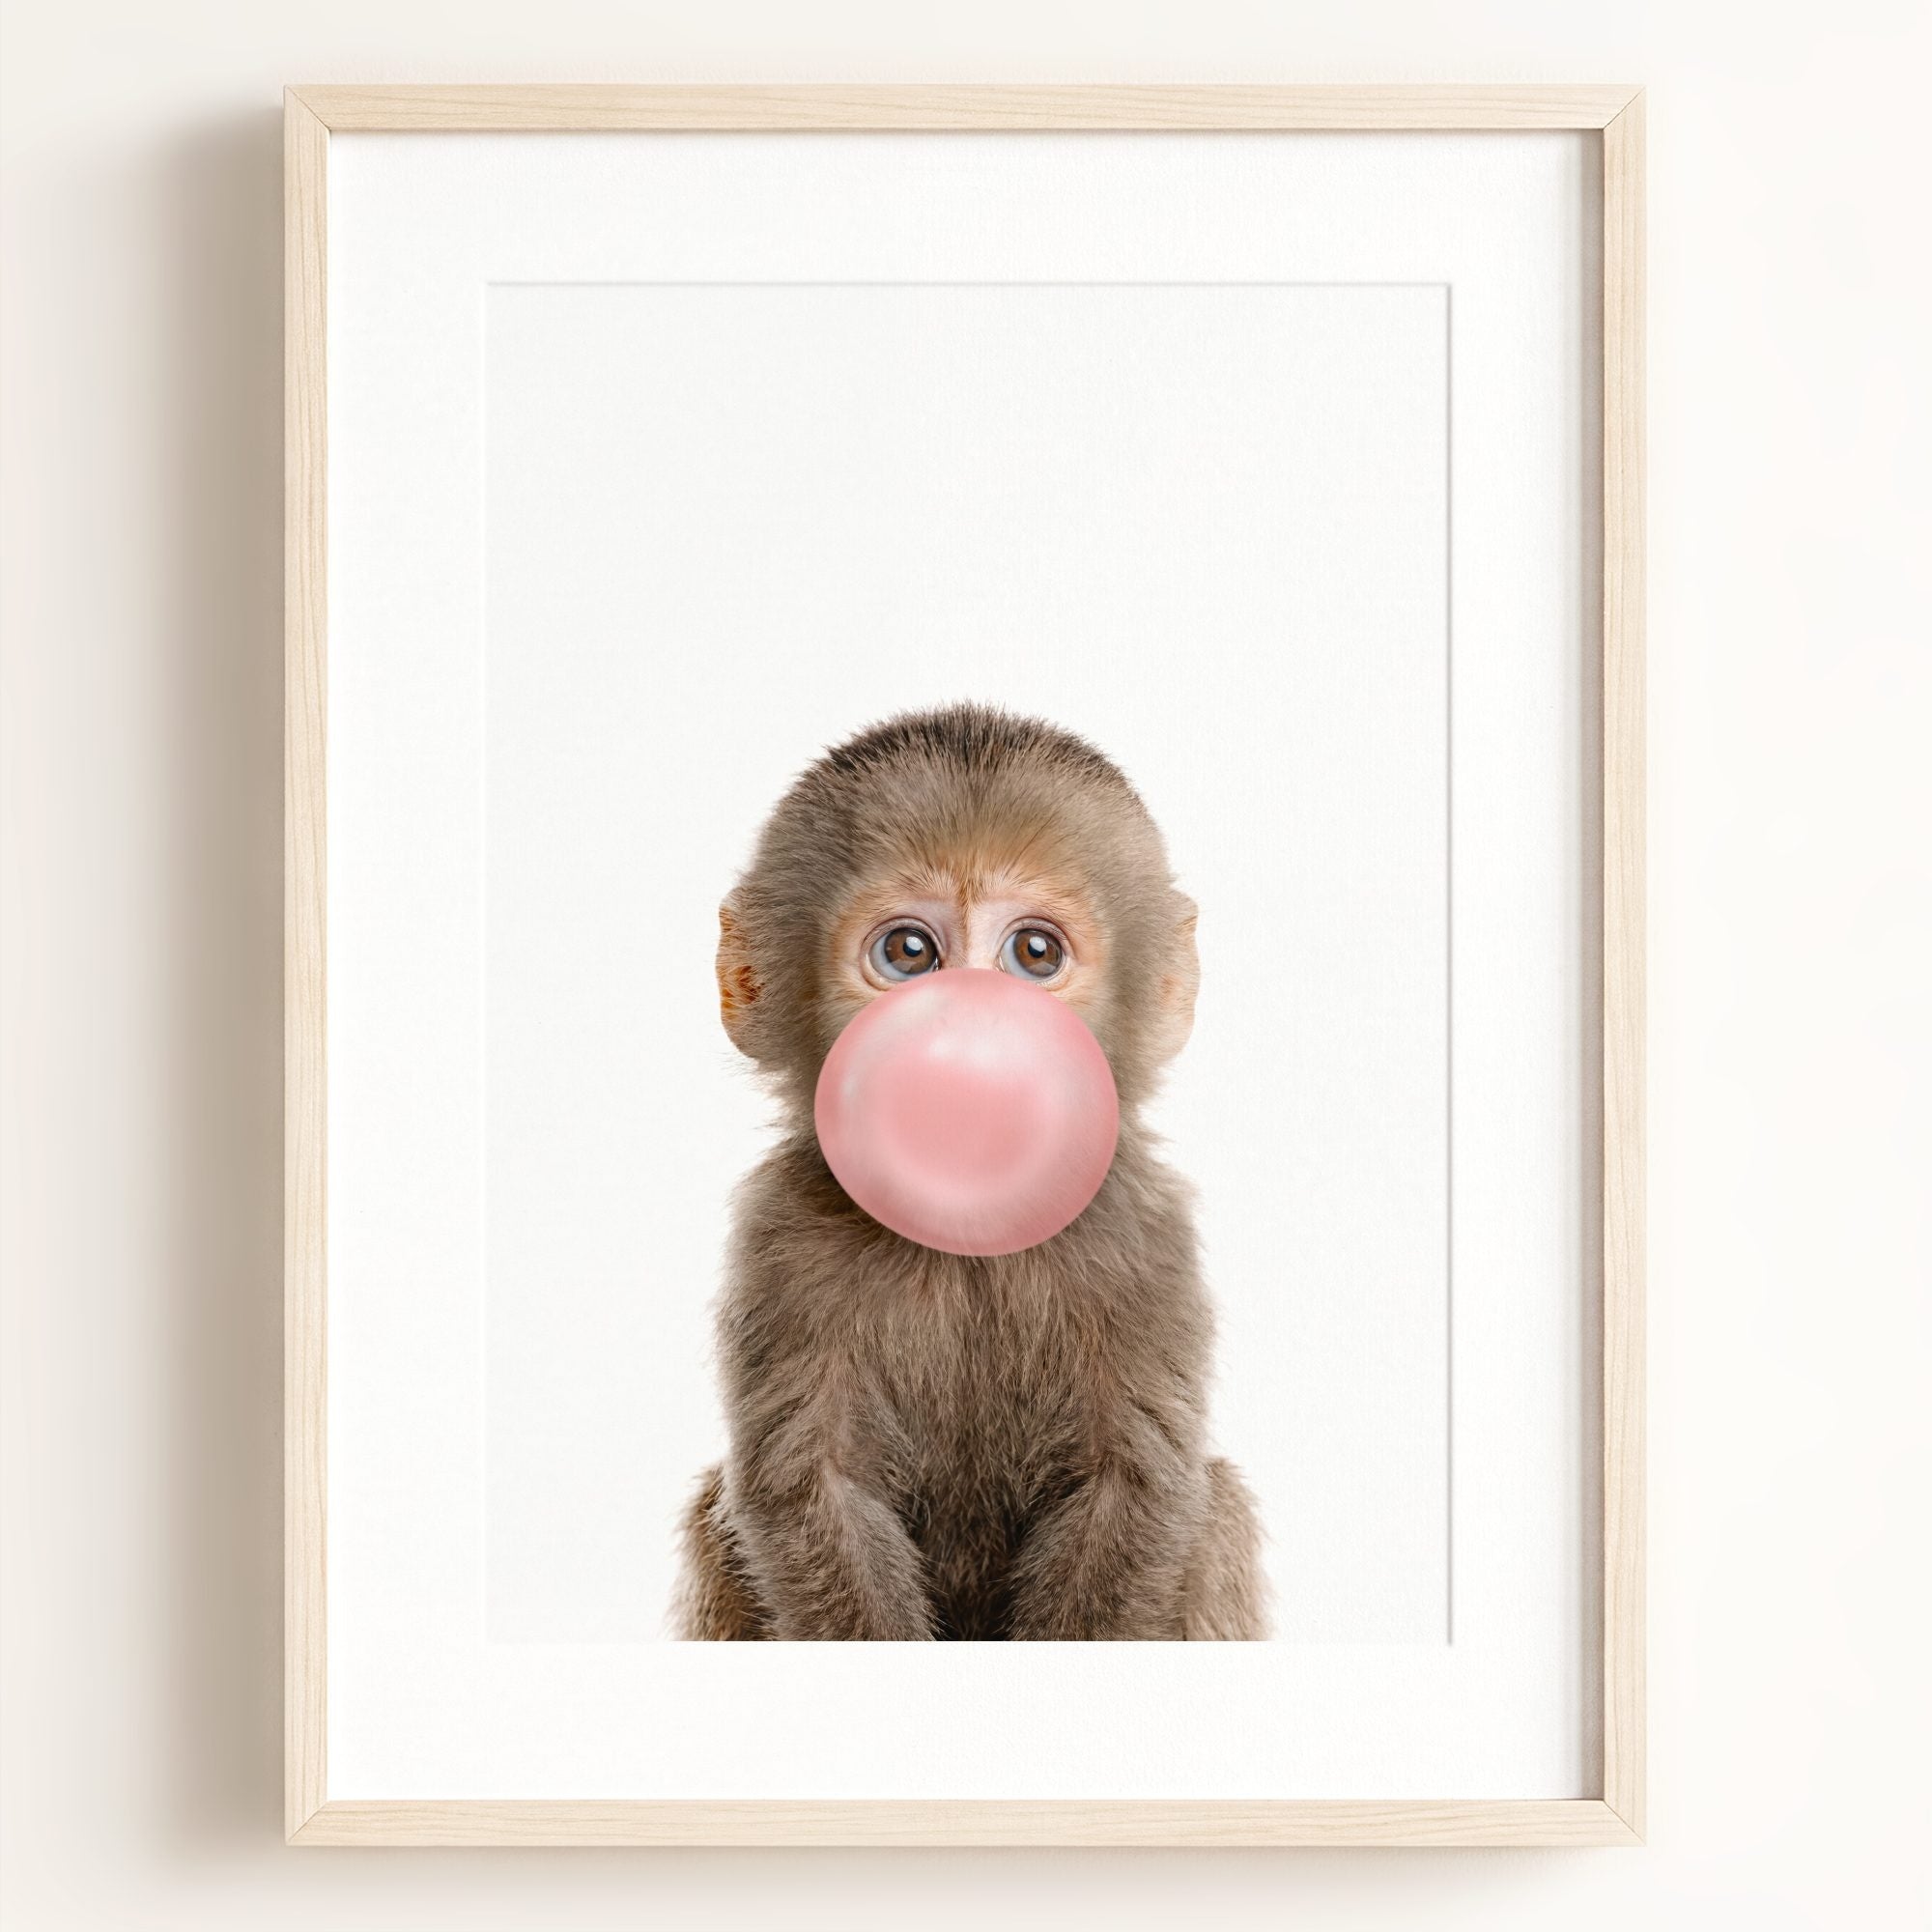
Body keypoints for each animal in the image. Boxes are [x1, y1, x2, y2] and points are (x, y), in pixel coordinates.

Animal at [674, 703, 1267, 1640]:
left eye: (1035, 954)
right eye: (910, 953)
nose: (970, 1030)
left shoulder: (1146, 1233)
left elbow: (1133, 1487)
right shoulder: (781, 1234)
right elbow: (813, 1489)